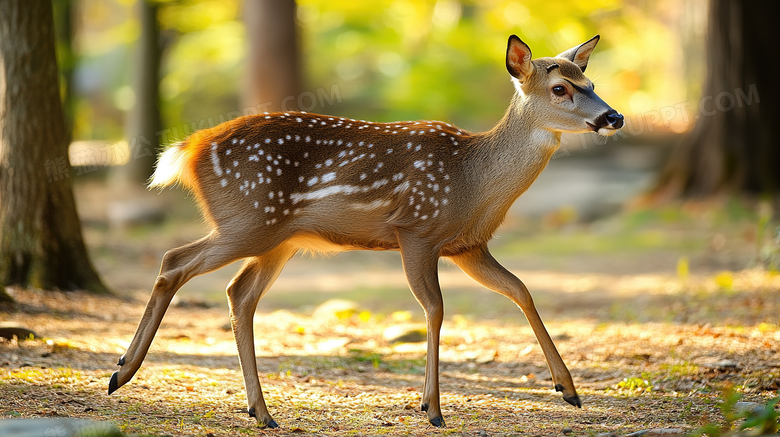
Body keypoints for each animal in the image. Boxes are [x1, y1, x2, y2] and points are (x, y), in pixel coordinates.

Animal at [108, 33, 620, 426]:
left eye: (592, 82)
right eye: (560, 88)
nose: (614, 117)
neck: (472, 182)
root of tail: (189, 148)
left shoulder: (468, 246)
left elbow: (521, 290)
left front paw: (568, 389)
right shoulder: (416, 229)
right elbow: (435, 308)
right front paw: (432, 408)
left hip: (278, 237)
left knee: (239, 292)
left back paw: (261, 411)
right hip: (249, 218)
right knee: (175, 261)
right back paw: (121, 372)